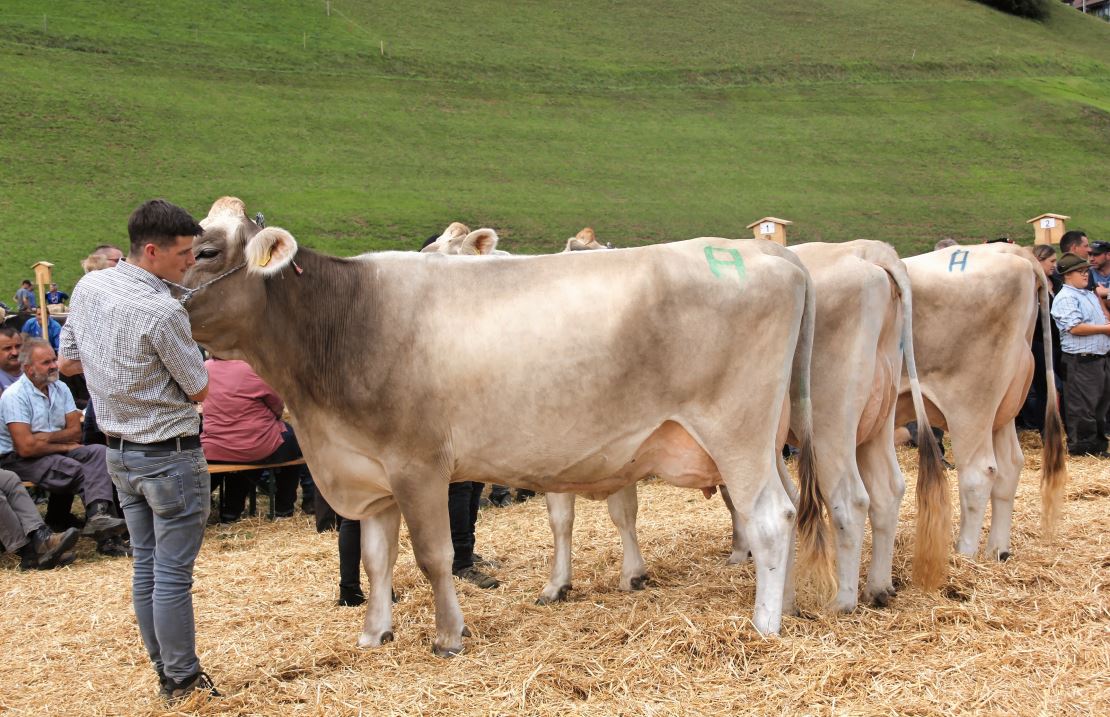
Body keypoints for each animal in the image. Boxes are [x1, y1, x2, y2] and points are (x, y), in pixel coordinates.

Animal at [184, 197, 834, 657]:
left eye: (206, 252)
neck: (347, 318)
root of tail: (771, 255)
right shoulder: (368, 471)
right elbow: (374, 559)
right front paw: (374, 633)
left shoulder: (418, 465)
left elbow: (433, 555)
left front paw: (448, 637)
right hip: (769, 435)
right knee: (790, 505)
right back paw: (787, 603)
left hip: (736, 429)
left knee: (770, 515)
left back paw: (764, 625)